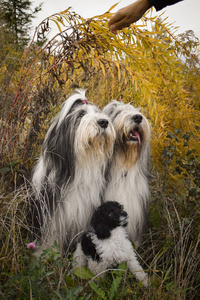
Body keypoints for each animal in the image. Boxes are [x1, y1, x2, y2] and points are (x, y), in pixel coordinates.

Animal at [31, 89, 115, 253]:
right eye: (81, 115)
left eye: (98, 113)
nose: (104, 122)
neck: (81, 167)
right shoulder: (53, 212)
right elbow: (52, 237)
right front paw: (48, 254)